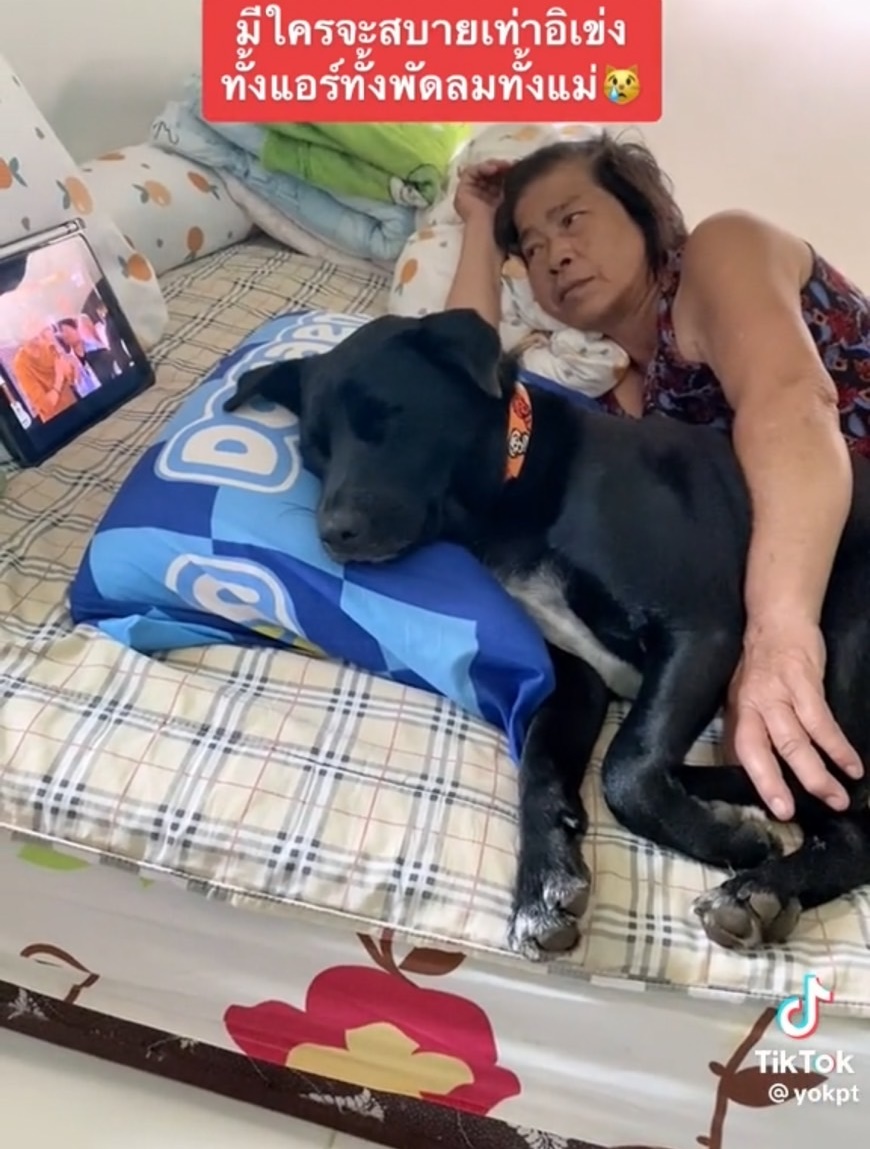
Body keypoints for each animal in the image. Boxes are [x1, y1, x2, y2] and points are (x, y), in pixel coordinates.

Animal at [223, 308, 870, 962]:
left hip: (842, 632)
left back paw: (758, 887)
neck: (514, 484)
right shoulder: (576, 681)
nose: (332, 534)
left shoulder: (701, 630)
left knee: (852, 817)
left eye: (389, 417)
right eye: (314, 452)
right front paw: (542, 884)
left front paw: (727, 843)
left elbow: (625, 769)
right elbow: (538, 768)